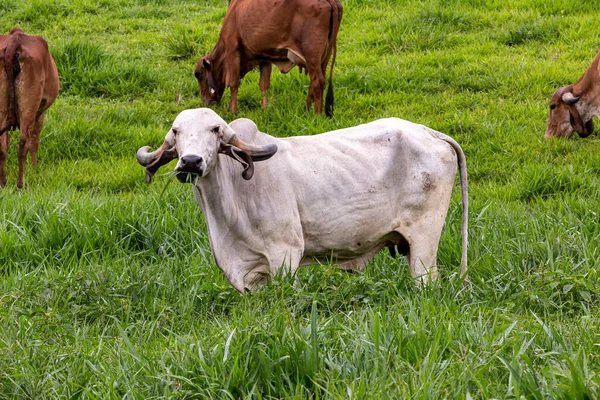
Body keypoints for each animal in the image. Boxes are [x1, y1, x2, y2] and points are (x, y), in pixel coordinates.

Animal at [0, 27, 59, 188]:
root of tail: (15, 39)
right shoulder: (40, 113)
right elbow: (35, 142)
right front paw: (34, 168)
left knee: (2, 145)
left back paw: (3, 183)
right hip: (29, 108)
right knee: (23, 143)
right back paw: (20, 184)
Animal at [136, 108, 468, 292]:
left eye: (215, 129)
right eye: (176, 131)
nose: (191, 162)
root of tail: (431, 133)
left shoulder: (286, 255)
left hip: (423, 243)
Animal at [193, 0, 340, 117]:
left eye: (198, 74)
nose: (205, 103)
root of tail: (331, 1)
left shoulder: (232, 49)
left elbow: (234, 83)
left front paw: (232, 112)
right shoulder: (264, 57)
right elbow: (264, 85)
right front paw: (264, 110)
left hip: (311, 55)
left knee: (318, 82)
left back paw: (317, 115)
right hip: (323, 58)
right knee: (315, 81)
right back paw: (305, 110)